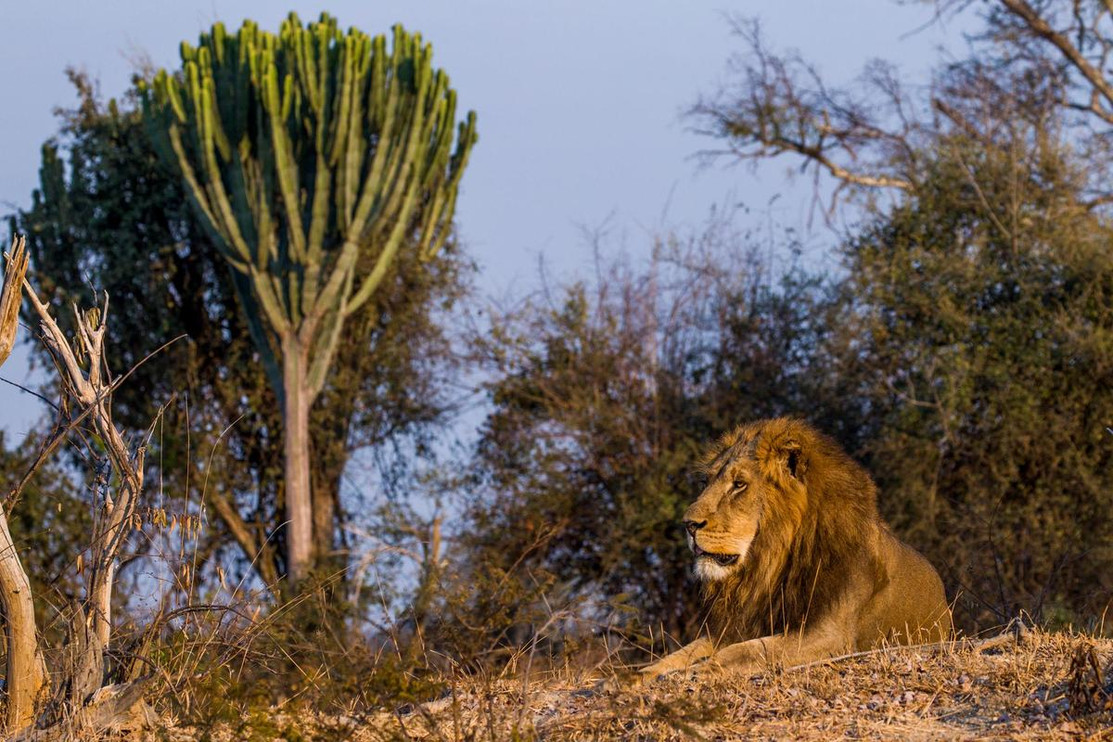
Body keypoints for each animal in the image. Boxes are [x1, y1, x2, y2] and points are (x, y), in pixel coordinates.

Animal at [642, 417, 952, 678]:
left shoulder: (831, 635)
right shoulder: (739, 625)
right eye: (705, 482)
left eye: (739, 484)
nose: (688, 524)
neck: (771, 564)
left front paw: (694, 673)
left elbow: (747, 651)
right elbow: (681, 653)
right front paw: (642, 676)